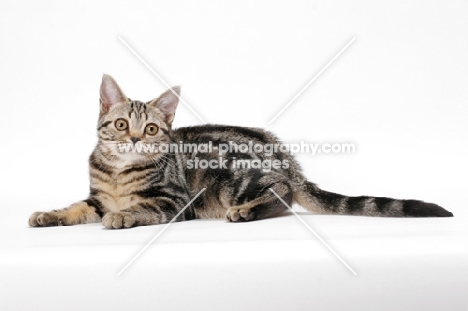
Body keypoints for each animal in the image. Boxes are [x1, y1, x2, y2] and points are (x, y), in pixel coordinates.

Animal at [29, 73, 454, 229]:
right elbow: (76, 207)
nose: (134, 139)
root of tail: (284, 156)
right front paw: (49, 214)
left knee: (283, 193)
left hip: (232, 179)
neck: (119, 173)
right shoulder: (96, 198)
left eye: (150, 128)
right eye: (120, 125)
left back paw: (247, 212)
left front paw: (124, 216)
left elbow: (142, 206)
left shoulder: (175, 200)